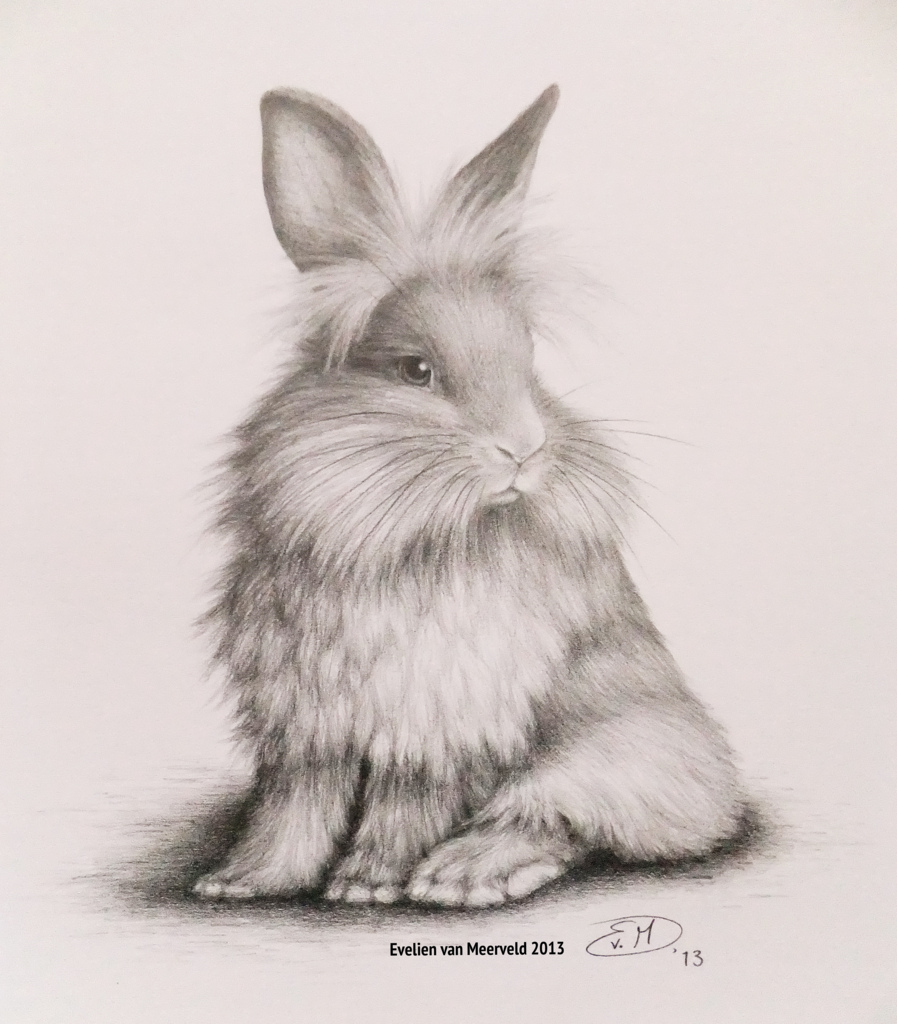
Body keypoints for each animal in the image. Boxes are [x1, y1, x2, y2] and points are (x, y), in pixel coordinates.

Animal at [192, 84, 743, 907]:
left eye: (528, 361)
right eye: (415, 370)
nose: (524, 448)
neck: (410, 540)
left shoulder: (438, 720)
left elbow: (406, 801)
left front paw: (368, 884)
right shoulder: (309, 722)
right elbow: (295, 804)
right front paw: (245, 880)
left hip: (619, 751)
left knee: (558, 819)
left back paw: (464, 875)